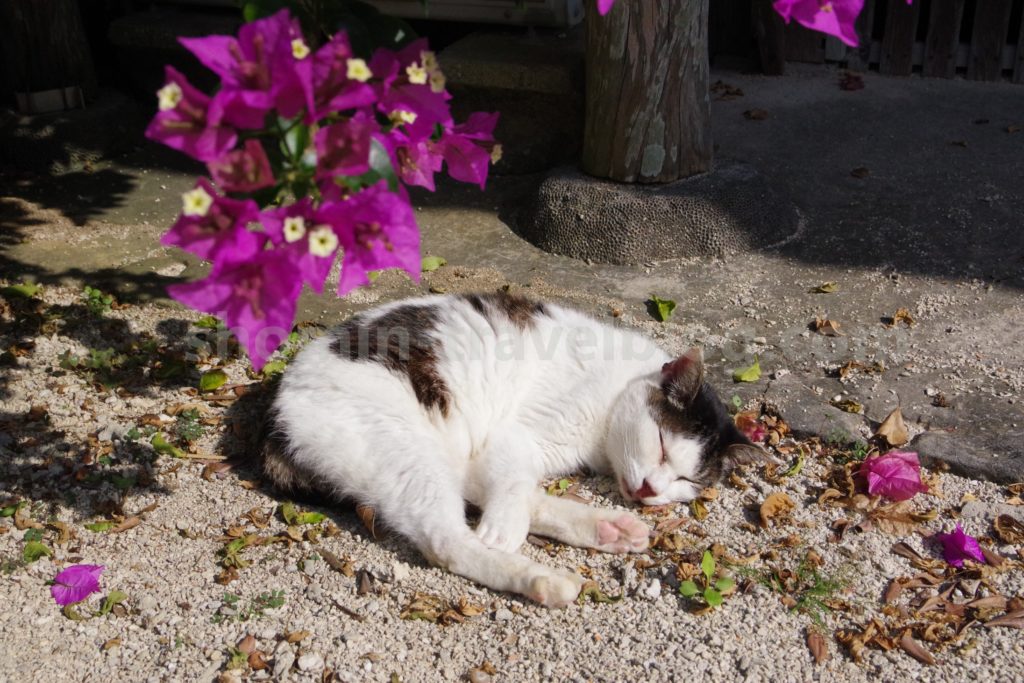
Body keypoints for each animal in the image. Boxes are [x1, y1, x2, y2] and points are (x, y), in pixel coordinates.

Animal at [264, 290, 761, 606]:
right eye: (660, 446)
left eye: (685, 480)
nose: (650, 491)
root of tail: (278, 408)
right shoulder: (516, 434)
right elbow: (513, 482)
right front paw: (504, 530)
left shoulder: (496, 448)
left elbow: (512, 486)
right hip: (406, 448)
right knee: (448, 540)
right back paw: (541, 576)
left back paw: (608, 529)